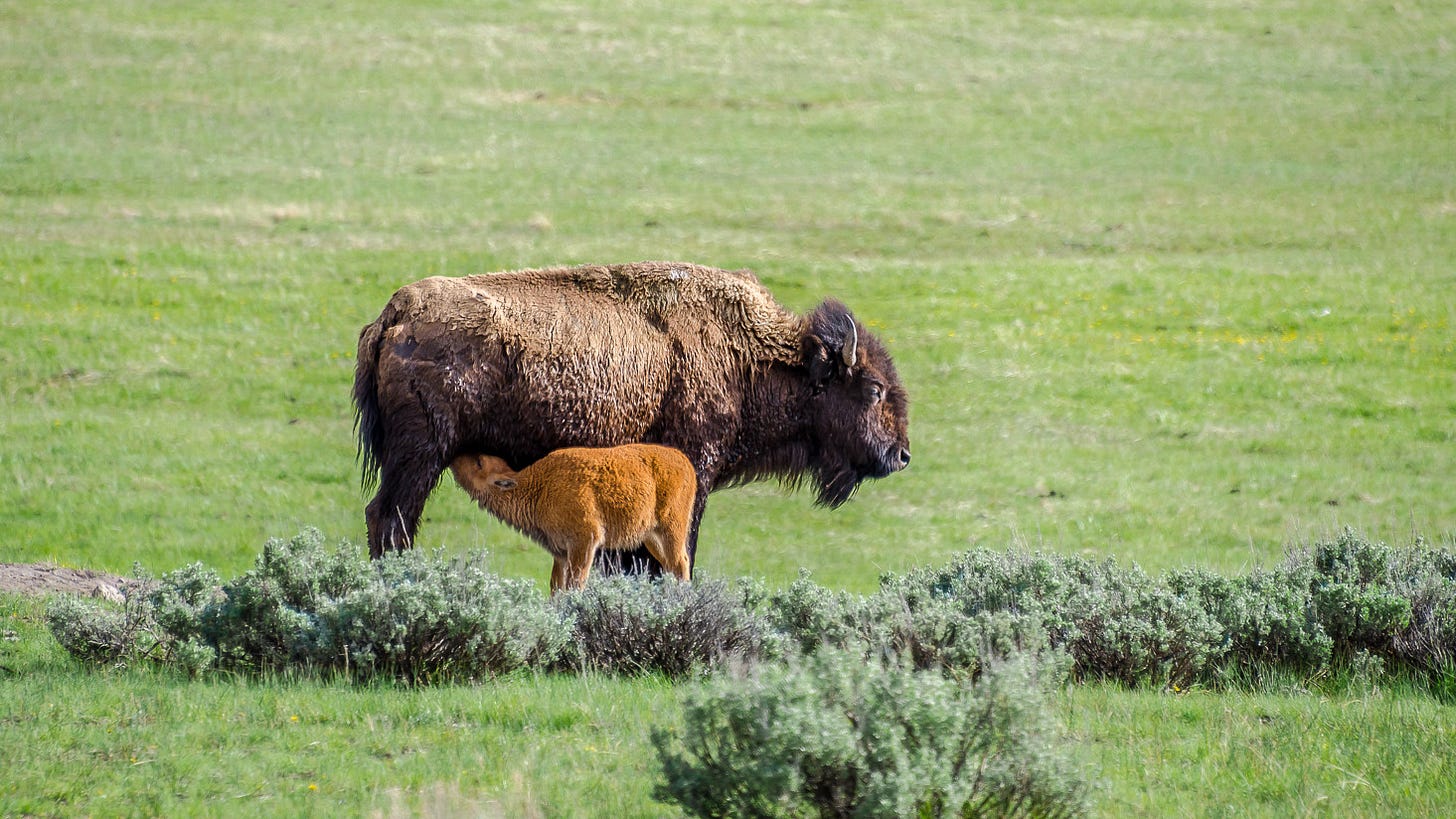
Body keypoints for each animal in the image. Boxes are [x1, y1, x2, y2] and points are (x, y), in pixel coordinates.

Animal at [353, 261, 910, 569]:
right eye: (874, 389)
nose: (902, 455)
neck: (748, 356)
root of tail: (397, 313)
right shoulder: (692, 474)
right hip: (421, 456)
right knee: (391, 517)